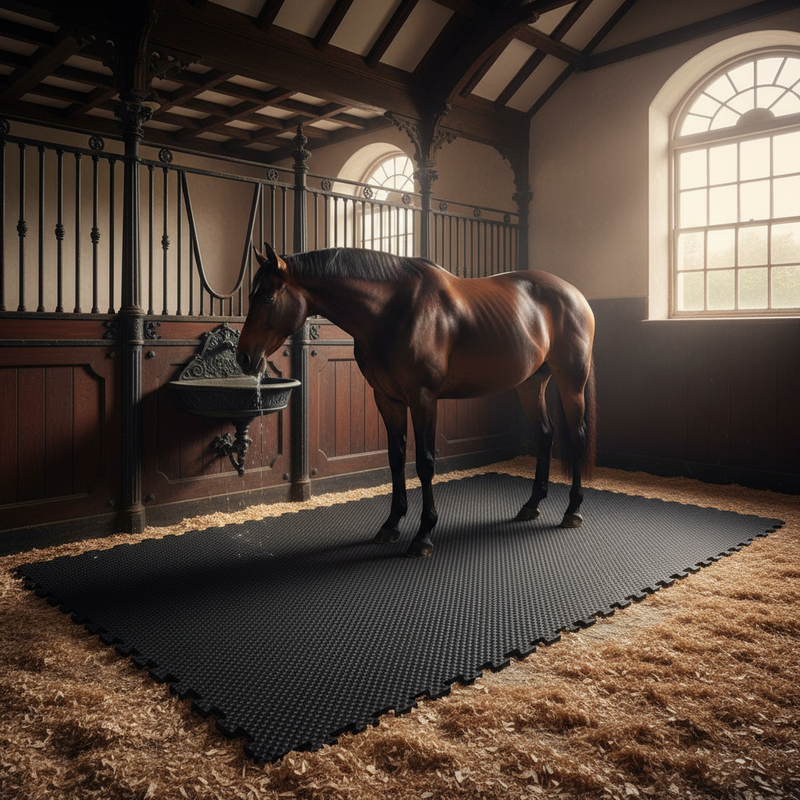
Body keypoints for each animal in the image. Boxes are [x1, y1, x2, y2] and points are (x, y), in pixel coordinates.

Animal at [237, 244, 596, 558]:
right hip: (530, 384)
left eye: (268, 297)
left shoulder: (423, 398)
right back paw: (531, 505)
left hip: (571, 381)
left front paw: (423, 535)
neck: (393, 311)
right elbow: (396, 459)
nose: (244, 358)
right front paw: (391, 525)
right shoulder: (387, 399)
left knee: (577, 437)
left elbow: (424, 462)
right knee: (545, 435)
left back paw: (573, 510)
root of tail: (576, 295)